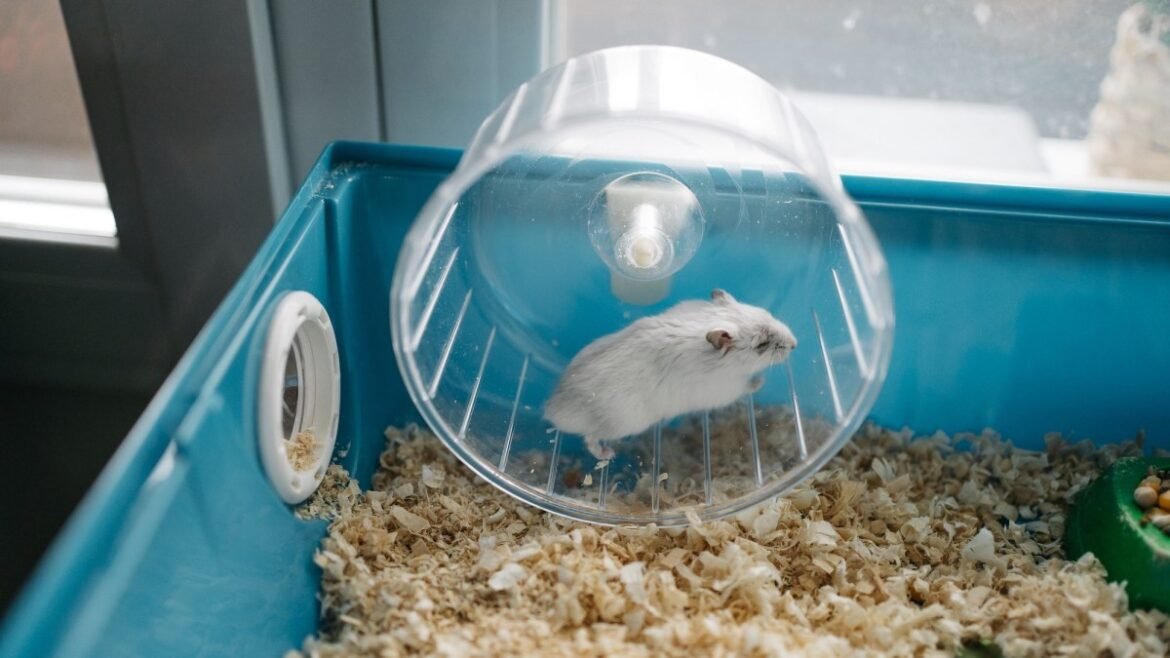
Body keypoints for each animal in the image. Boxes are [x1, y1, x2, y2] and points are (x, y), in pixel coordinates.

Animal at [544, 288, 797, 460]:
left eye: (767, 312)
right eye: (762, 344)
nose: (796, 344)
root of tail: (553, 410)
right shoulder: (724, 390)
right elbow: (746, 386)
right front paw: (760, 381)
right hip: (622, 424)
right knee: (590, 438)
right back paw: (607, 453)